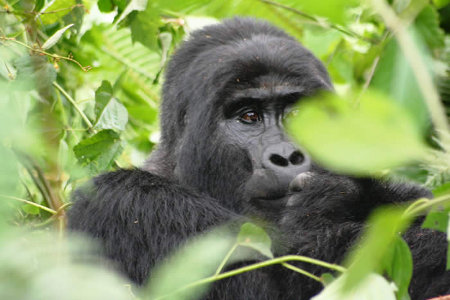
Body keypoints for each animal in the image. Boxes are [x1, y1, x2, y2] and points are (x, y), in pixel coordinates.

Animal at [67, 17, 450, 298]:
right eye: (248, 116)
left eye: (297, 114)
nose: (287, 156)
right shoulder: (127, 203)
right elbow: (280, 282)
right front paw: (327, 201)